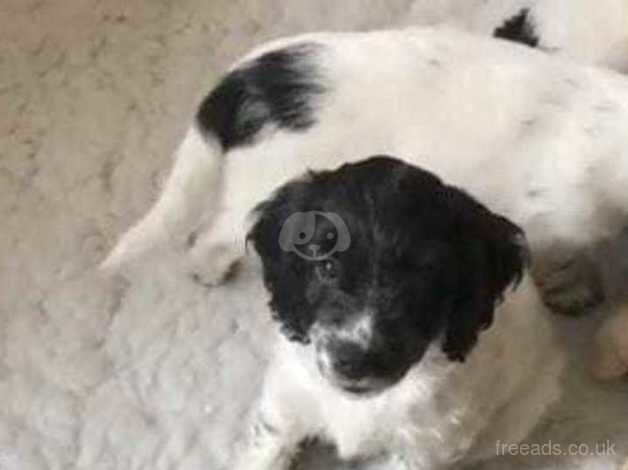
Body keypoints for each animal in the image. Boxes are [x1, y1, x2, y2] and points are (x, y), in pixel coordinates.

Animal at [234, 157, 564, 470]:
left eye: (424, 281)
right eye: (326, 267)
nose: (357, 362)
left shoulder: (426, 445)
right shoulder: (286, 399)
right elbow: (267, 446)